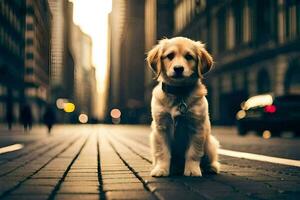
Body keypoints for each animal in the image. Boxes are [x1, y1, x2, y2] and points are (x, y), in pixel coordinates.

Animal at [146, 36, 219, 177]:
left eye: (189, 56)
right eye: (170, 56)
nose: (178, 68)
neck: (179, 93)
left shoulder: (197, 128)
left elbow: (193, 153)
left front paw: (192, 170)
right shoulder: (161, 128)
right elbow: (163, 152)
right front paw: (161, 169)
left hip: (209, 143)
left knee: (209, 159)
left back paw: (211, 167)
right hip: (152, 138)